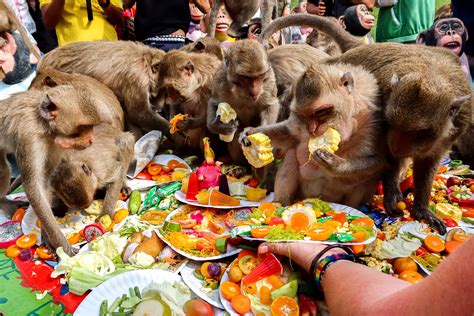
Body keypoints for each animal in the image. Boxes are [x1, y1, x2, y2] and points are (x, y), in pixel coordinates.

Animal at [0, 83, 103, 254]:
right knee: (3, 170)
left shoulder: (55, 143)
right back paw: (3, 202)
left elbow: (45, 181)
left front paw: (47, 236)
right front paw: (63, 246)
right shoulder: (28, 137)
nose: (91, 140)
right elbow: (33, 186)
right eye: (83, 127)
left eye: (91, 127)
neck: (43, 125)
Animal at [239, 62, 386, 207]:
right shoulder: (298, 122)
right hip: (305, 194)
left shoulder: (372, 122)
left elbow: (379, 161)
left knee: (367, 178)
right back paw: (281, 203)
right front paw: (250, 132)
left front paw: (335, 164)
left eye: (320, 112)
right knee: (292, 154)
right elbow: (288, 133)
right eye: (304, 115)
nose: (312, 129)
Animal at [260, 14, 474, 232]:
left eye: (419, 132)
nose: (397, 146)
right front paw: (392, 192)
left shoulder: (458, 120)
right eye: (392, 123)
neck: (432, 73)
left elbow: (420, 160)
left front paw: (421, 208)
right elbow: (387, 159)